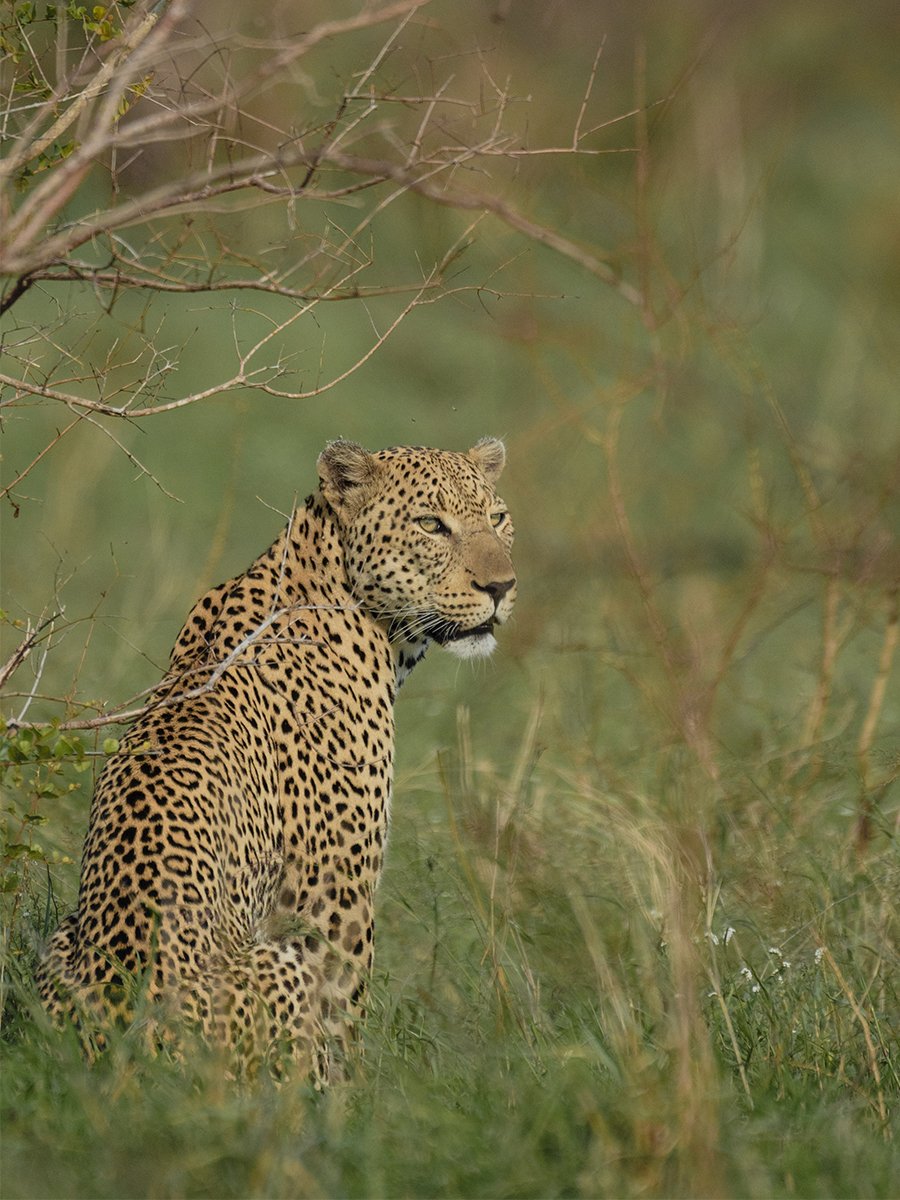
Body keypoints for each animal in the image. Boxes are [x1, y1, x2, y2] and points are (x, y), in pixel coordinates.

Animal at [35, 441, 518, 1080]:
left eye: (498, 518)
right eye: (431, 525)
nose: (502, 586)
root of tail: (116, 1051)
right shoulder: (333, 901)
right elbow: (342, 1020)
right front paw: (353, 1100)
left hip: (61, 939)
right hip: (275, 963)